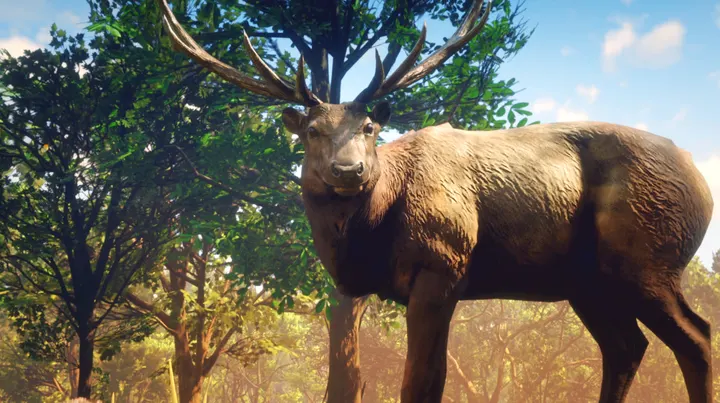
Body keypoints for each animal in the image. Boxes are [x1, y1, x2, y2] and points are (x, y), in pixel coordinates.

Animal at [157, 0, 714, 401]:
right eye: (312, 132)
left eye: (369, 127)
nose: (348, 170)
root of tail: (703, 183)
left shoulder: (442, 263)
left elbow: (420, 382)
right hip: (588, 281)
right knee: (627, 347)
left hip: (647, 256)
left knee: (696, 335)